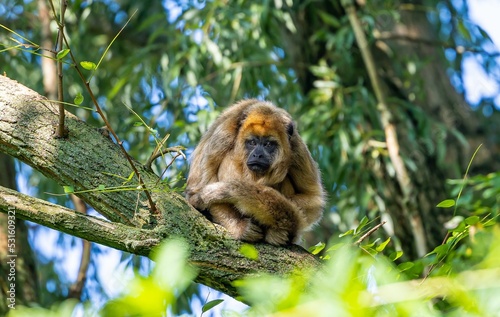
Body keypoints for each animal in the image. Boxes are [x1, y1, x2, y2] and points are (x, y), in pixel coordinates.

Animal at [186, 99, 326, 244]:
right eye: (252, 142)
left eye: (268, 144)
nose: (257, 155)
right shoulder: (221, 137)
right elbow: (198, 189)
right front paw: (239, 227)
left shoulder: (296, 147)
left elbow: (313, 197)